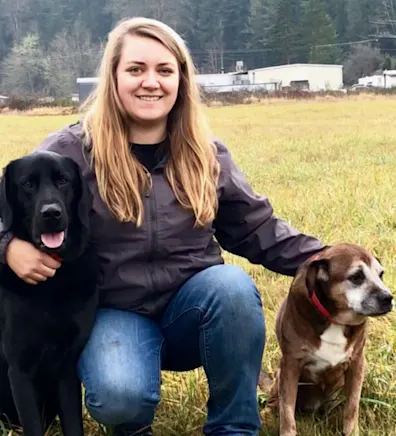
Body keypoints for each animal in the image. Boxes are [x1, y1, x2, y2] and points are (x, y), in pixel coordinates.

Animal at [0, 151, 98, 436]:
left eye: (63, 180)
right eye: (27, 184)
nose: (51, 213)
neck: (51, 285)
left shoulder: (66, 366)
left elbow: (73, 424)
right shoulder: (20, 370)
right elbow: (33, 426)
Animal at [268, 244, 394, 436]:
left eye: (381, 274)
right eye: (356, 276)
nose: (388, 298)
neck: (336, 320)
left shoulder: (357, 363)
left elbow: (352, 406)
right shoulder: (290, 366)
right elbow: (287, 412)